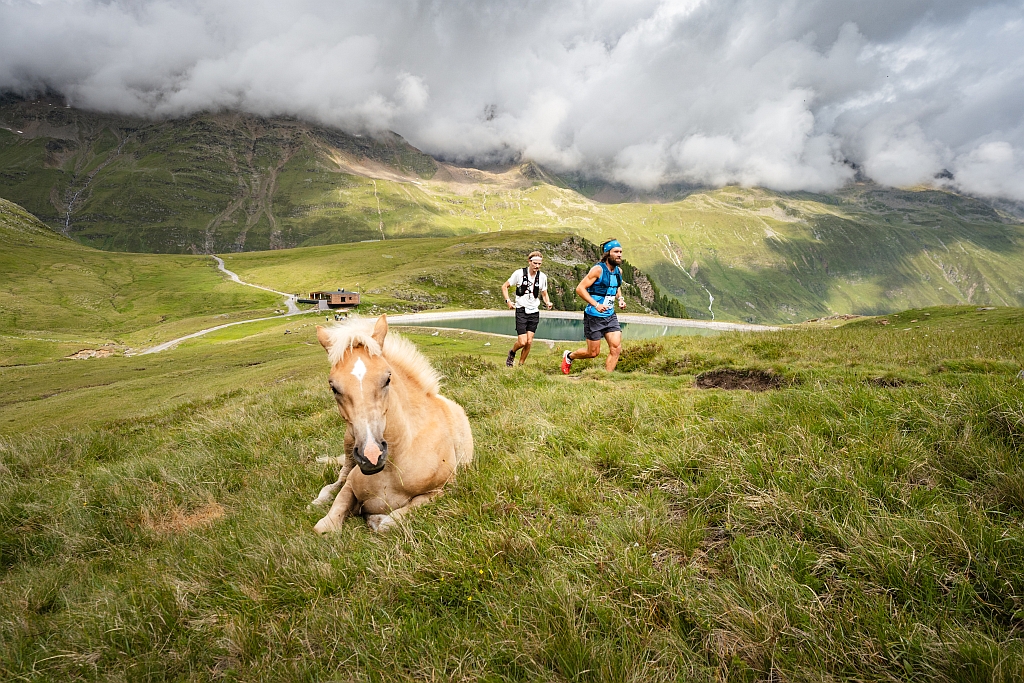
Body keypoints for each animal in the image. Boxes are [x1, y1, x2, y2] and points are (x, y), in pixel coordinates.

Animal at [310, 315, 474, 533]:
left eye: (387, 378)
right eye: (333, 387)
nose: (371, 456)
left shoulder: (443, 489)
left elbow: (390, 521)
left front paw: (375, 519)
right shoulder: (350, 485)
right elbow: (325, 524)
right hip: (348, 444)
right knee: (339, 477)